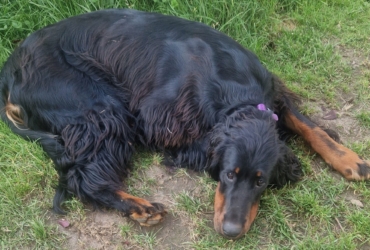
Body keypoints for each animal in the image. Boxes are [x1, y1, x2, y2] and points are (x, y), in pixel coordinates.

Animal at [0, 8, 370, 238]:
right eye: (227, 175)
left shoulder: (272, 91)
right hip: (99, 107)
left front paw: (350, 160)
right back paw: (140, 207)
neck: (235, 89)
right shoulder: (156, 119)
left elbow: (308, 125)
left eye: (261, 182)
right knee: (82, 178)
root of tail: (10, 66)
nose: (231, 231)